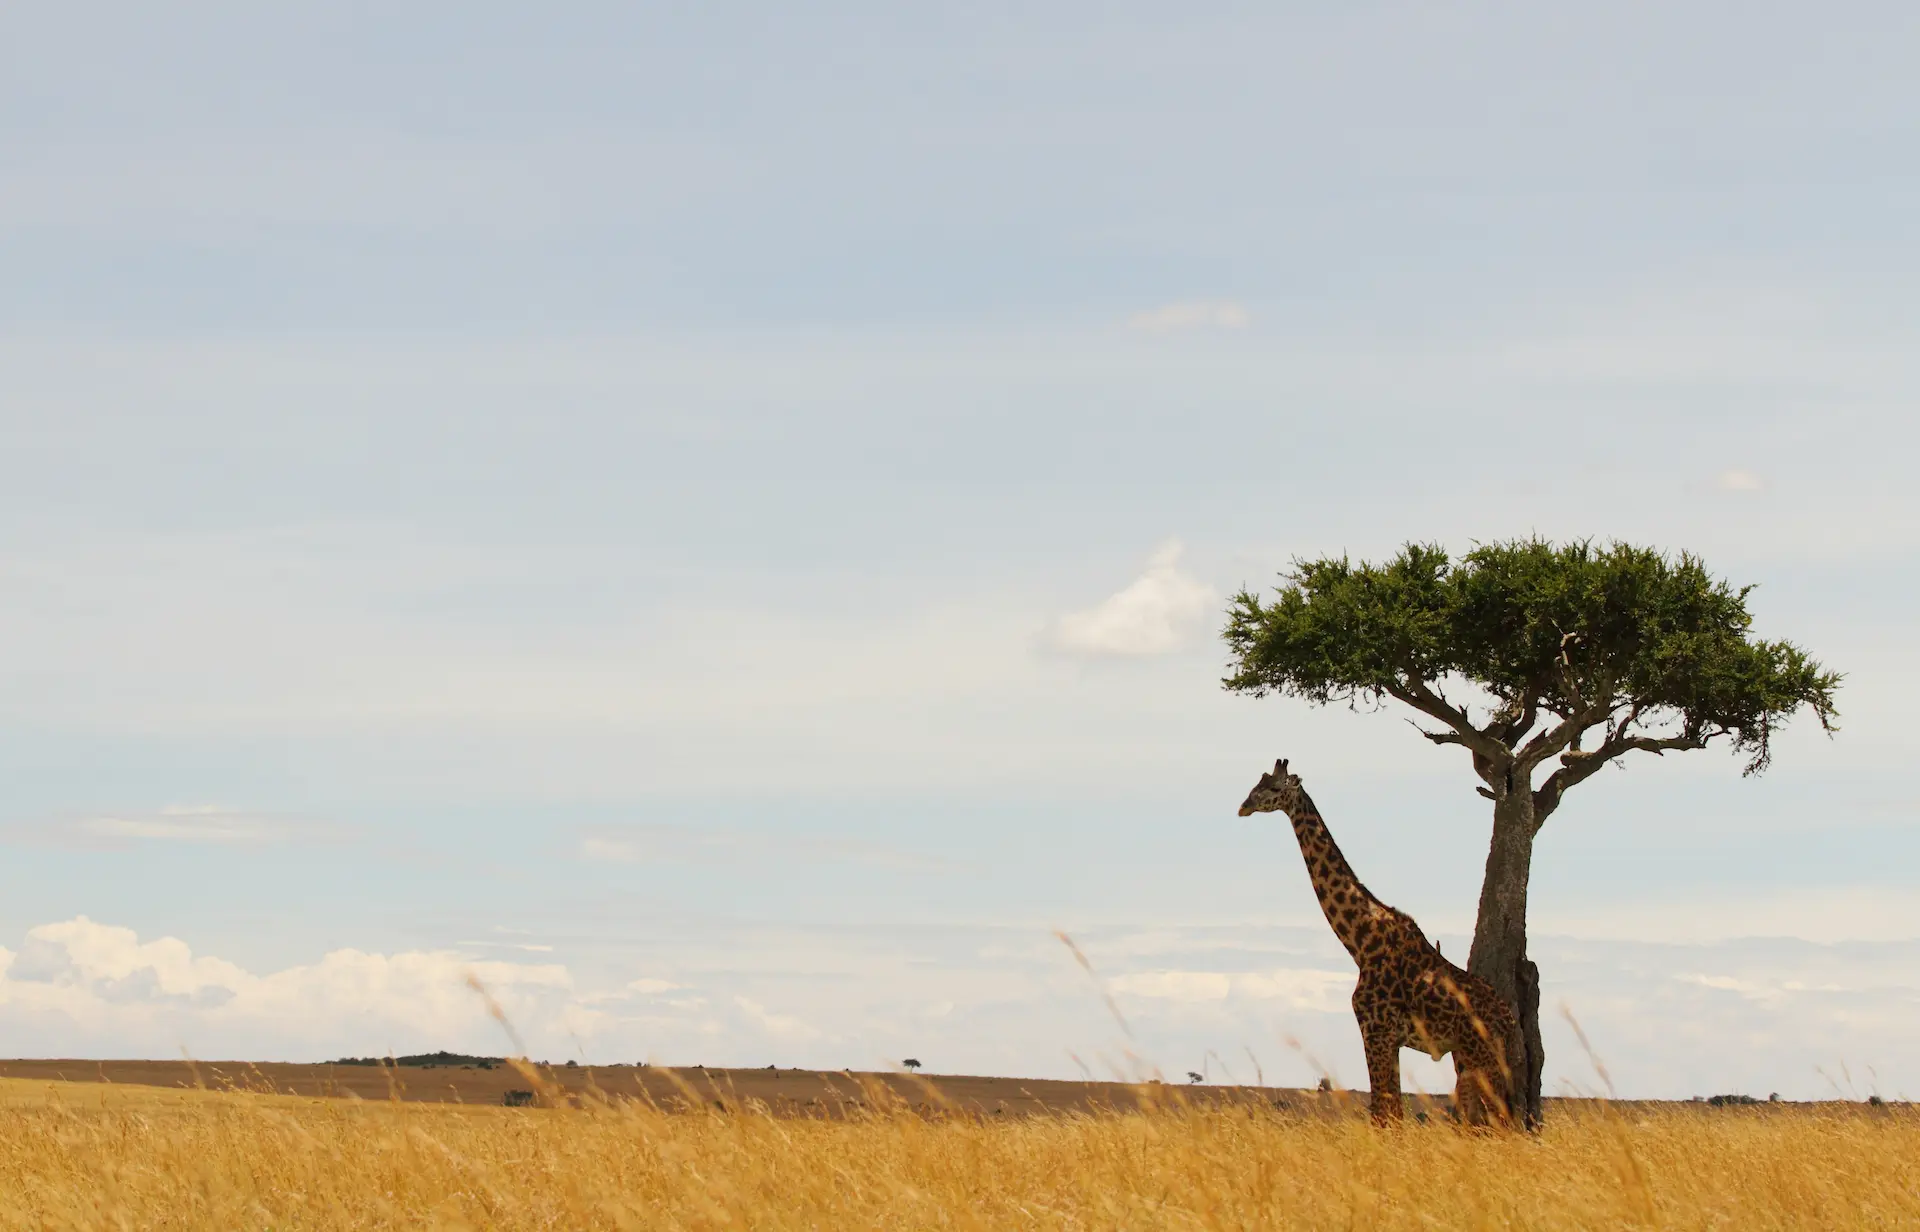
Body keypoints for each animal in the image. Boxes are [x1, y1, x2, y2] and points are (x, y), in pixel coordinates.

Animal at [1238, 758, 1519, 1127]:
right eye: (1257, 783)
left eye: (1272, 787)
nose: (1244, 806)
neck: (1359, 940)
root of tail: (1509, 1020)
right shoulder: (1388, 1038)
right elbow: (1391, 1112)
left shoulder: (1376, 1030)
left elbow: (1383, 1113)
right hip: (1468, 1057)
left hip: (1481, 1056)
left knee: (1503, 1122)